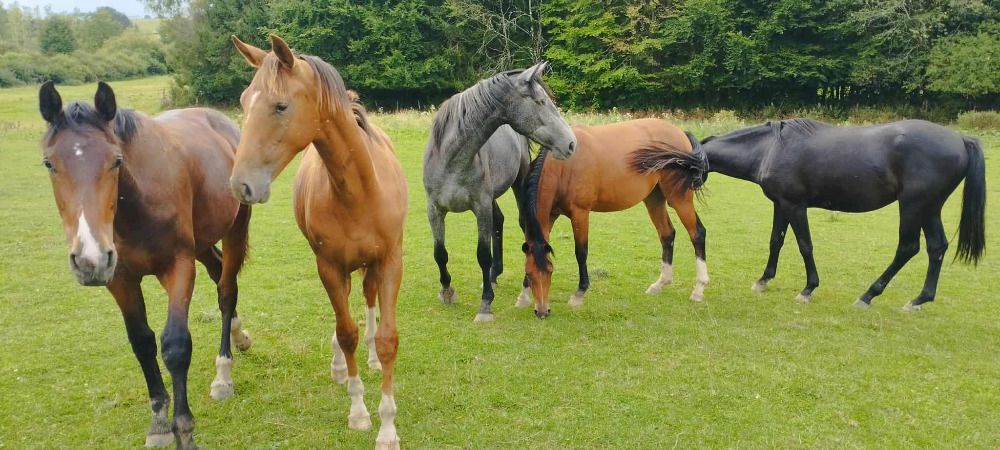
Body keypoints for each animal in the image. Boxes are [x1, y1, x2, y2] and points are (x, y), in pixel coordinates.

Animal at [38, 82, 253, 449]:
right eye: (50, 163)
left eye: (116, 161)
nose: (89, 258)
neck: (137, 203)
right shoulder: (120, 279)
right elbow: (141, 342)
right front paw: (159, 424)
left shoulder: (179, 267)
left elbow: (175, 345)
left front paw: (184, 430)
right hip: (202, 242)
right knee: (218, 272)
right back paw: (239, 337)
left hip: (233, 230)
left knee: (226, 290)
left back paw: (223, 373)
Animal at [230, 34, 407, 450]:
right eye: (244, 102)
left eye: (280, 105)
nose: (240, 185)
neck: (359, 191)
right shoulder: (328, 266)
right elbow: (345, 332)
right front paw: (359, 412)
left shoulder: (391, 261)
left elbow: (387, 339)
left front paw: (388, 427)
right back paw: (341, 365)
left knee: (368, 301)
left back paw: (370, 358)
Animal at [423, 62, 576, 322]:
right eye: (540, 102)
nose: (571, 143)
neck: (451, 160)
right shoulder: (435, 209)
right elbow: (439, 252)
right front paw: (446, 291)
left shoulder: (481, 206)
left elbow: (482, 254)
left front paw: (485, 305)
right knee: (499, 221)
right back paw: (494, 275)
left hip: (518, 185)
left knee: (524, 227)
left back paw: (524, 288)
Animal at [520, 118, 709, 318]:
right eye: (529, 274)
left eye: (550, 272)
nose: (542, 312)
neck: (564, 167)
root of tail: (680, 133)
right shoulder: (551, 215)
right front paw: (523, 296)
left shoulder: (580, 213)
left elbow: (581, 252)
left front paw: (579, 294)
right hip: (654, 198)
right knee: (667, 235)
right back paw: (659, 284)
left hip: (679, 198)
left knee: (697, 233)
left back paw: (698, 289)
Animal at [700, 118, 986, 310]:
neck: (770, 149)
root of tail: (961, 139)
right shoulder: (780, 204)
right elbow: (776, 241)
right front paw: (763, 280)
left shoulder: (795, 205)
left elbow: (805, 245)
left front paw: (808, 289)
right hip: (930, 208)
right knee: (936, 247)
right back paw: (919, 300)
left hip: (913, 206)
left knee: (908, 248)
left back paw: (867, 296)